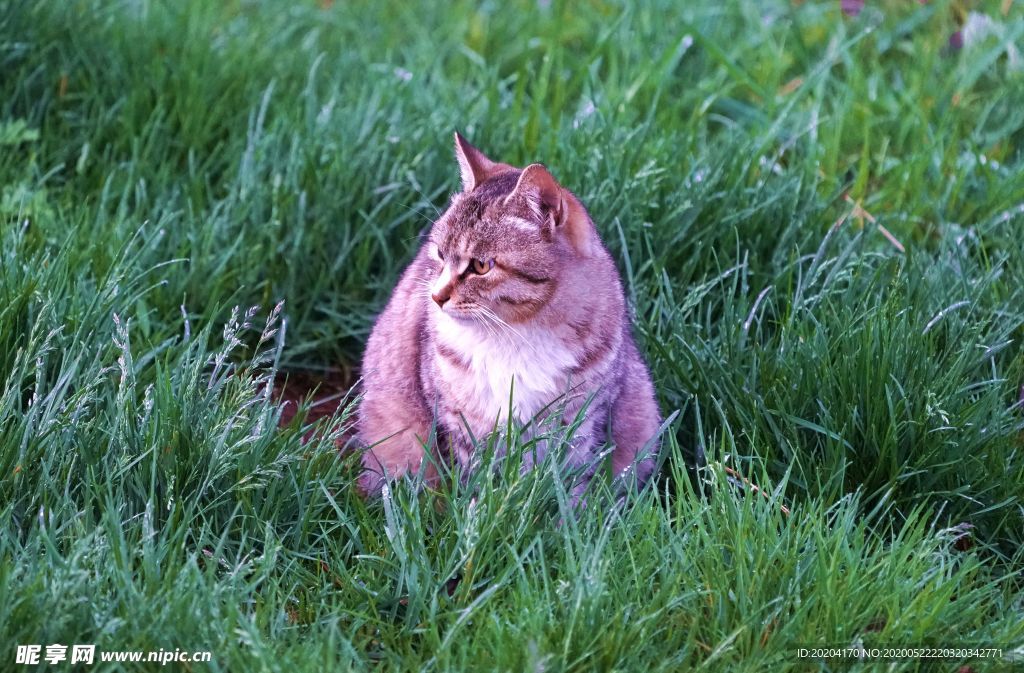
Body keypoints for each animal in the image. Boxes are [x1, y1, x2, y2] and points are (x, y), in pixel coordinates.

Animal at [356, 132, 663, 497]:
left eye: (481, 266)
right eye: (440, 254)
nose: (436, 296)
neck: (516, 333)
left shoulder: (585, 419)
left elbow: (571, 482)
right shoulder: (456, 420)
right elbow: (473, 477)